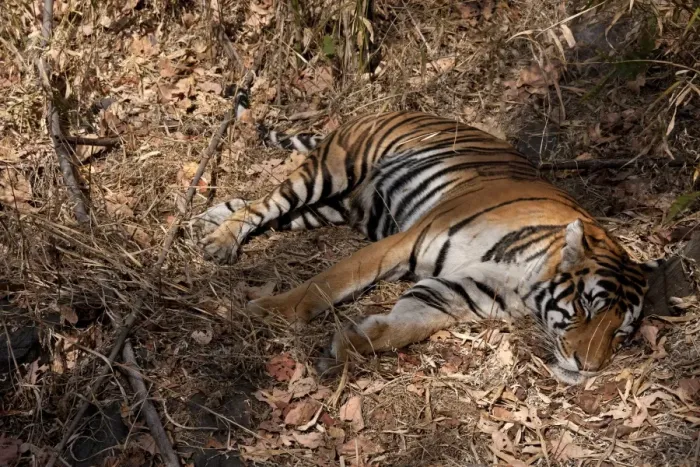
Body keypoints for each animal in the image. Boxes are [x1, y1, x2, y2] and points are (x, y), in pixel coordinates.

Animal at [195, 95, 661, 384]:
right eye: (585, 308)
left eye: (622, 333)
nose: (589, 368)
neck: (524, 282)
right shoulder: (403, 242)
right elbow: (325, 284)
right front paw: (271, 311)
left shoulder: (454, 293)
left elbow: (402, 327)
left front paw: (348, 344)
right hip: (331, 170)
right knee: (267, 203)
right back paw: (220, 241)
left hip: (336, 206)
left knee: (268, 212)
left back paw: (208, 219)